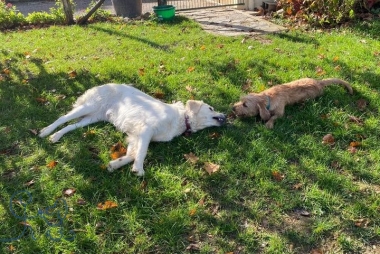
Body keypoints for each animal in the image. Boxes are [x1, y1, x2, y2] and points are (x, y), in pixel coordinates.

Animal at [39, 84, 226, 176]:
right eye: (211, 108)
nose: (225, 116)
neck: (181, 119)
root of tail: (105, 83)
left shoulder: (135, 136)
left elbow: (132, 154)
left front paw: (115, 164)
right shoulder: (145, 130)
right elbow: (141, 153)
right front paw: (138, 169)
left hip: (93, 118)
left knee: (70, 125)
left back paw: (56, 136)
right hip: (89, 107)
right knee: (62, 118)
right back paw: (46, 131)